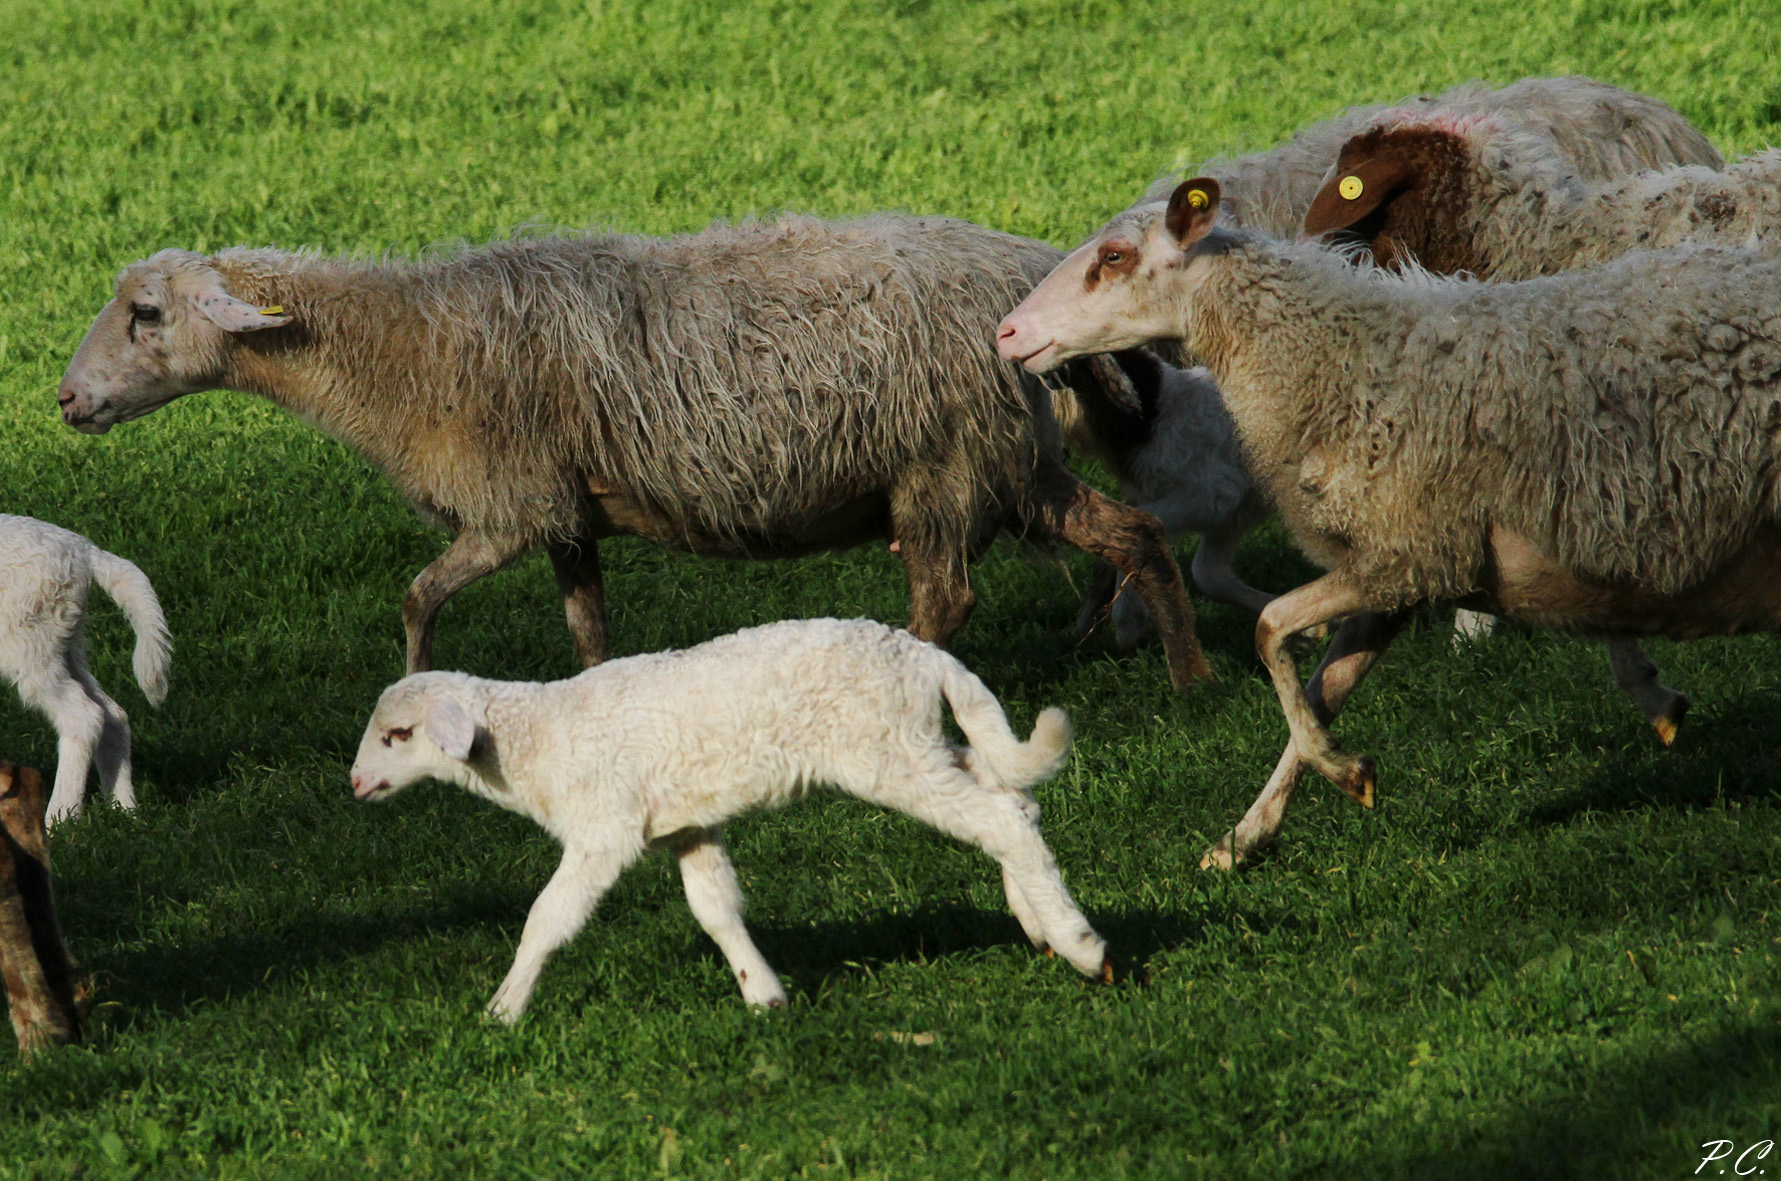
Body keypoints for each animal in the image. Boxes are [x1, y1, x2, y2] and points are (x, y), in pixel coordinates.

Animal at [0, 515, 170, 825]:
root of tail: (85, 550)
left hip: (25, 636)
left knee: (82, 716)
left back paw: (59, 820)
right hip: (61, 636)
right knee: (112, 714)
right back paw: (123, 809)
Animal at [56, 217, 1210, 689]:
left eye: (146, 314)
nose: (66, 399)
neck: (402, 348)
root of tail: (1019, 279)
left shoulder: (508, 505)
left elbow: (416, 597)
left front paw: (410, 686)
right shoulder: (566, 514)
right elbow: (588, 629)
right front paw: (596, 705)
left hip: (940, 461)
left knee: (947, 599)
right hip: (1011, 460)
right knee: (1133, 534)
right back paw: (1188, 676)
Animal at [349, 617, 1111, 1022]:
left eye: (398, 735)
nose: (355, 783)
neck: (535, 737)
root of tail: (925, 654)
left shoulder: (603, 828)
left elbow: (547, 917)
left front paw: (503, 1009)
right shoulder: (684, 824)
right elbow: (715, 909)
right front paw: (764, 997)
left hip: (885, 750)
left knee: (999, 818)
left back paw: (1081, 945)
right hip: (919, 740)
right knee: (1012, 798)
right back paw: (1037, 923)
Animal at [996, 178, 1781, 868]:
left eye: (1113, 257)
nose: (1006, 332)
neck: (1343, 359)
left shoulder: (1414, 554)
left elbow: (1270, 630)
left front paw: (1340, 772)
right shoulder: (1396, 576)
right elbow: (1323, 689)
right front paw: (1243, 838)